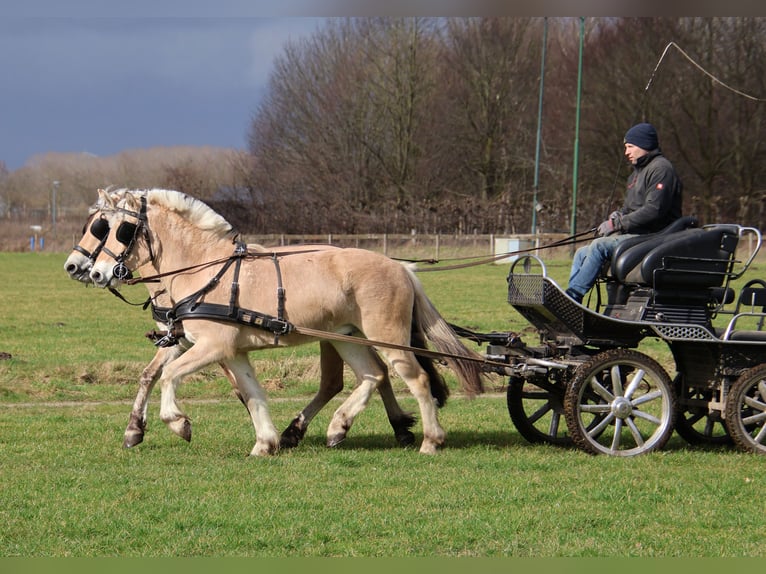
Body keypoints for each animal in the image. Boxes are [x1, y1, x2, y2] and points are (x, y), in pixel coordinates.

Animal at [87, 188, 484, 454]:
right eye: (101, 227)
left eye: (121, 229)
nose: (94, 272)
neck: (204, 269)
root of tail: (402, 268)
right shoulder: (231, 352)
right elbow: (252, 393)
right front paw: (266, 442)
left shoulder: (212, 346)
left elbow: (169, 375)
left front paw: (179, 423)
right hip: (346, 337)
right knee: (372, 375)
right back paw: (338, 426)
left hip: (387, 336)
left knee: (415, 379)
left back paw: (430, 440)